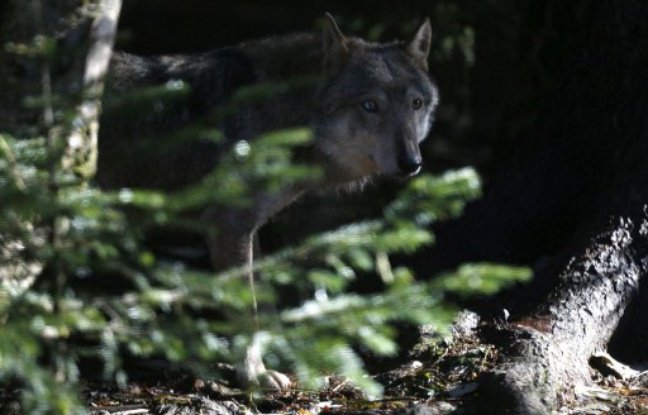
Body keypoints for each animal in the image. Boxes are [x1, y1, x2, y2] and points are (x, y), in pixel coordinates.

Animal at [98, 13, 439, 390]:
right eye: (370, 106)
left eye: (416, 104)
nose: (411, 163)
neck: (287, 116)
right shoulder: (227, 225)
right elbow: (248, 309)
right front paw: (254, 375)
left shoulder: (250, 230)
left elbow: (265, 301)